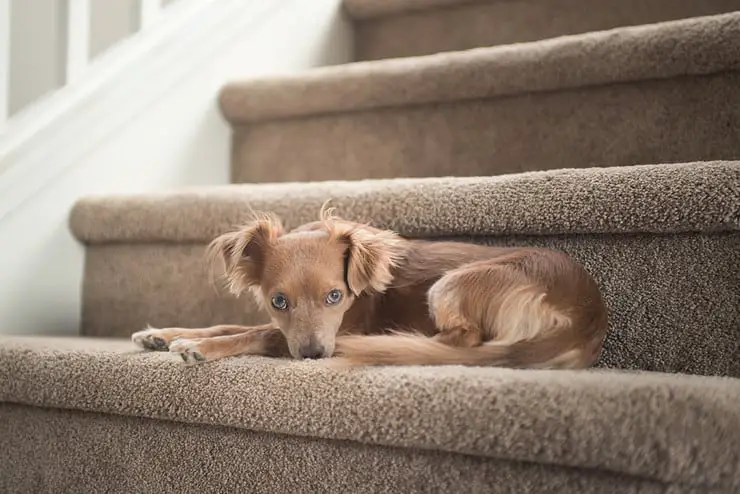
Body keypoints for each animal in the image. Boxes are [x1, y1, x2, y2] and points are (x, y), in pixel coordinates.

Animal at [133, 206, 608, 368]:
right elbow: (230, 325)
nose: (312, 355)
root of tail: (587, 313)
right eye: (278, 300)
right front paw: (161, 334)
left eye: (336, 296)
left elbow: (252, 333)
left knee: (466, 340)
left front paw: (197, 346)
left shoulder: (338, 328)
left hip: (453, 284)